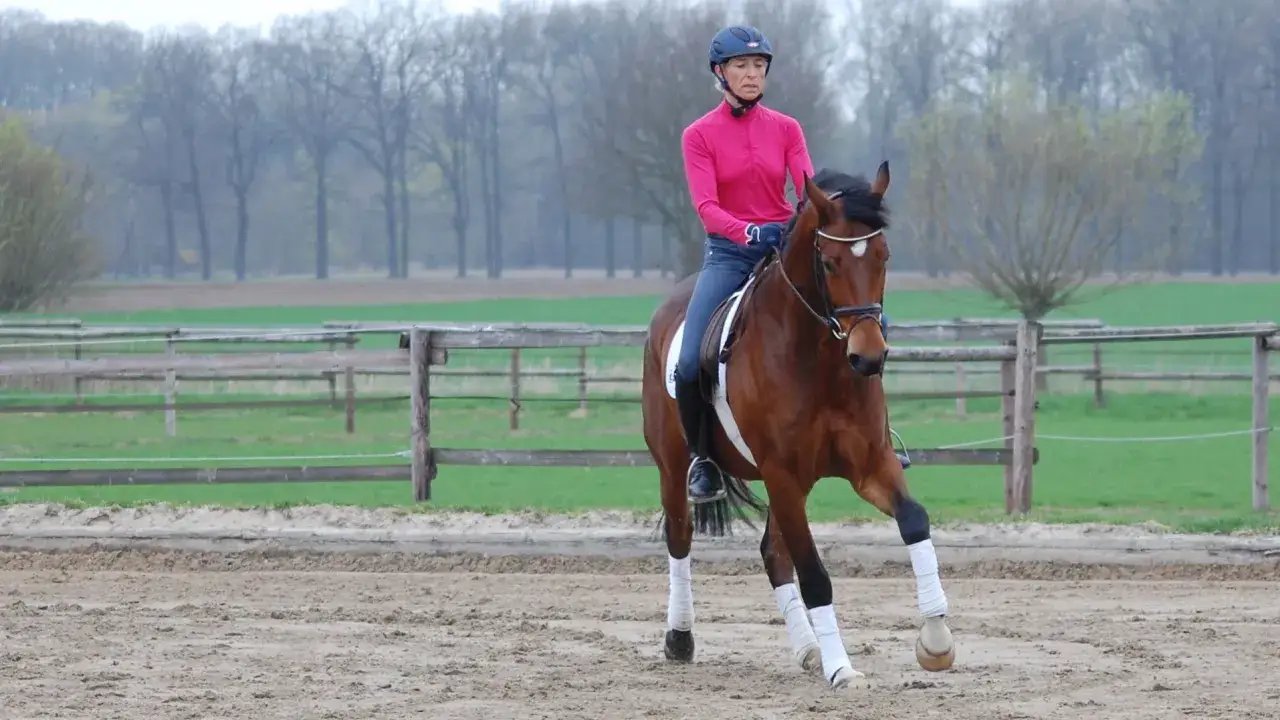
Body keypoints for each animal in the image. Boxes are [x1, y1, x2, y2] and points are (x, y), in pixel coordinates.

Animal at [639, 162, 956, 691]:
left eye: (884, 255)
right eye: (828, 262)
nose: (868, 357)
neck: (817, 359)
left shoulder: (870, 464)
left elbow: (914, 520)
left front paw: (935, 640)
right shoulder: (782, 473)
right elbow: (814, 574)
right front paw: (842, 669)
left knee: (772, 553)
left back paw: (808, 649)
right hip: (675, 465)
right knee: (681, 537)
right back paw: (680, 639)